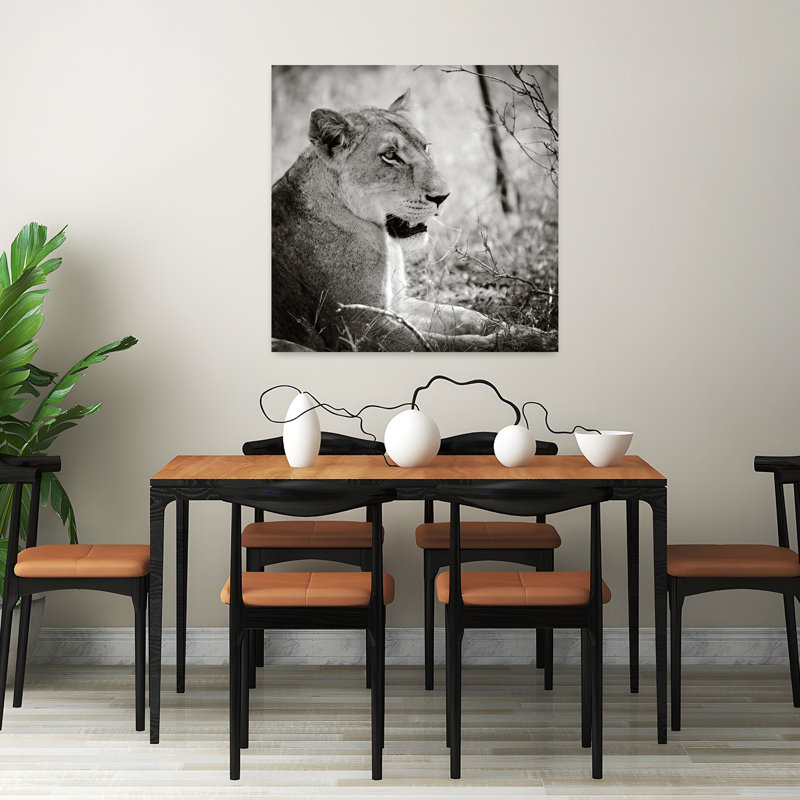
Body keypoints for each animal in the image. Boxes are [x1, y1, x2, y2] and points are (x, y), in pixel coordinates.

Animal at [271, 90, 497, 352]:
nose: (444, 196)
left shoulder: (398, 305)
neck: (386, 242)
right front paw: (511, 339)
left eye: (425, 147)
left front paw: (504, 326)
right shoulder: (363, 329)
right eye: (390, 155)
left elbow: (461, 314)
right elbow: (445, 345)